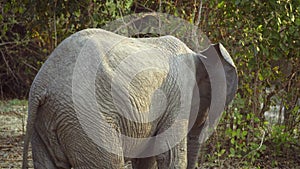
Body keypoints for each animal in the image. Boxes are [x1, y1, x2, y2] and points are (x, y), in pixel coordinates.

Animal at [22, 28, 238, 168]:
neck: (197, 54)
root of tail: (41, 85)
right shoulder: (179, 95)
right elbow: (170, 156)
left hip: (47, 120)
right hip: (86, 119)